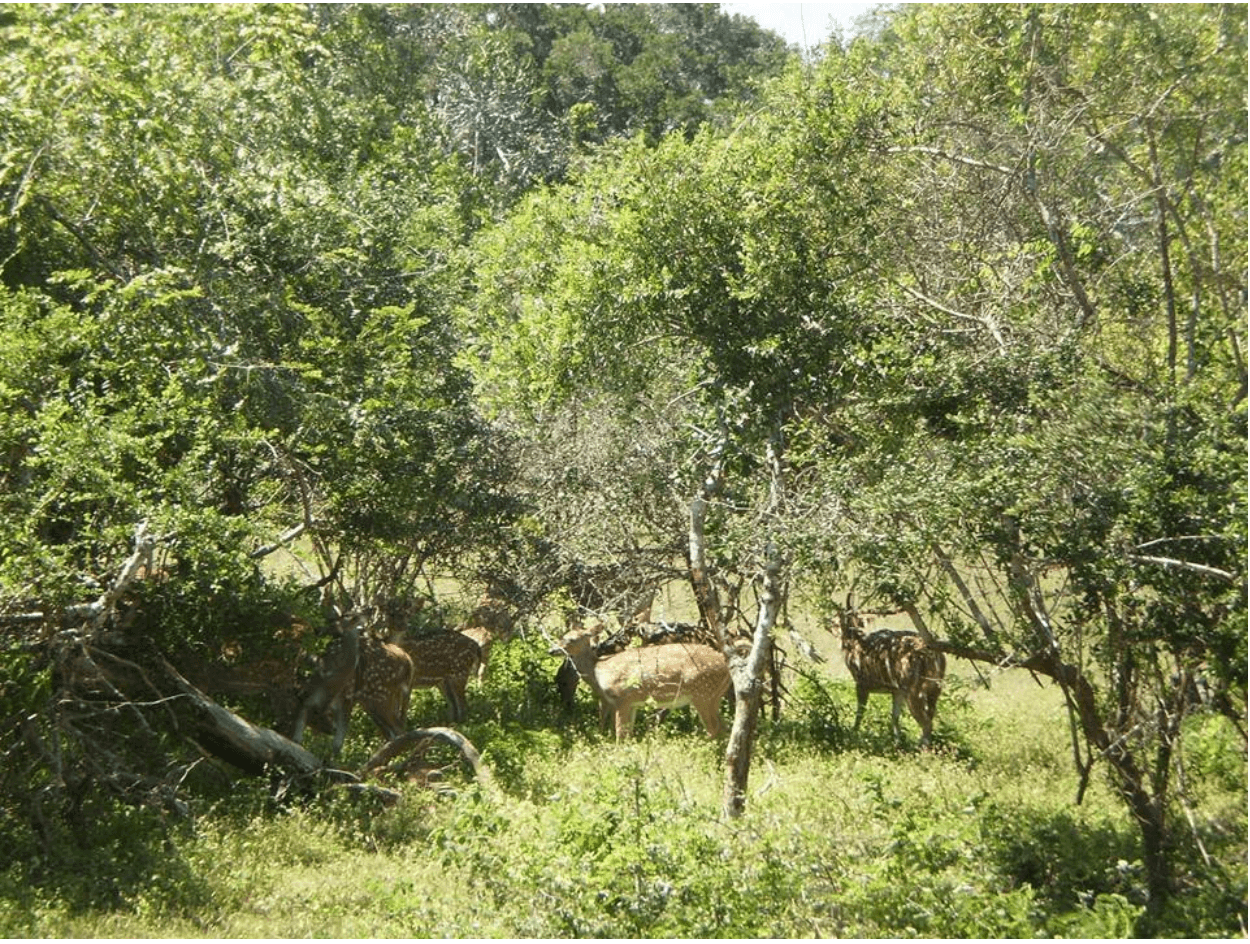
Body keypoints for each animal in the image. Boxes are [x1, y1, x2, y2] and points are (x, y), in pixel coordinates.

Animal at [551, 622, 731, 740]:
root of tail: (726, 666)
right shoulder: (632, 703)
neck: (599, 670)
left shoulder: (621, 697)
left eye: (570, 639)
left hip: (702, 692)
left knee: (714, 728)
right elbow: (628, 735)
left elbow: (620, 735)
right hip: (713, 696)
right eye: (562, 636)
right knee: (724, 727)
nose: (552, 650)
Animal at [838, 600, 946, 747]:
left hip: (914, 690)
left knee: (926, 723)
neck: (855, 644)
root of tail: (934, 656)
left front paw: (853, 733)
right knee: (930, 716)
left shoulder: (861, 683)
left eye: (842, 617)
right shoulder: (896, 691)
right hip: (934, 689)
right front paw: (897, 741)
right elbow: (894, 716)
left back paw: (921, 747)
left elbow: (860, 711)